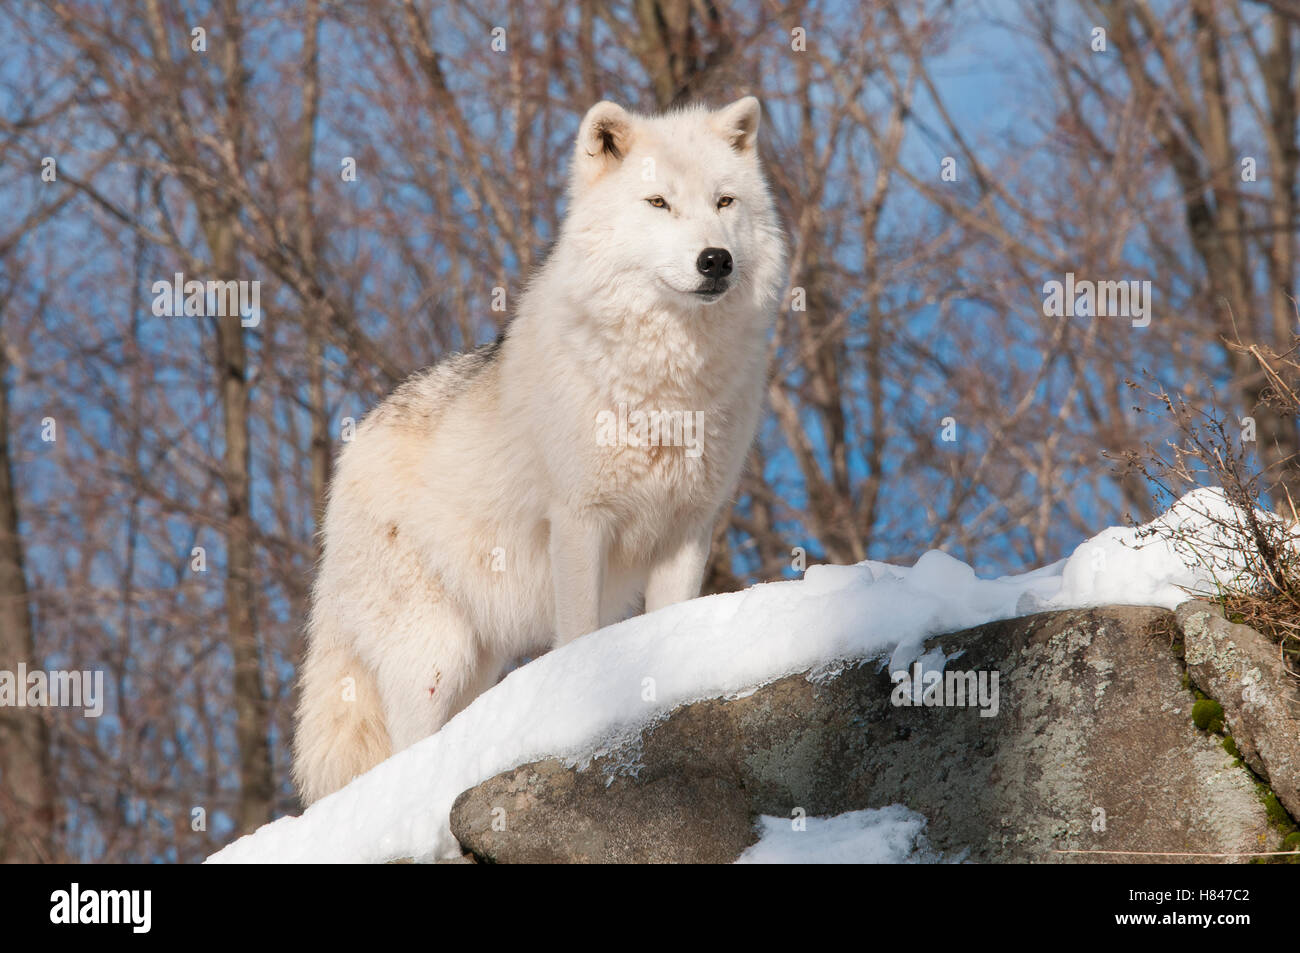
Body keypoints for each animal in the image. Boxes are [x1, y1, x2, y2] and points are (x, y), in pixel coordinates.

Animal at [292, 97, 787, 805]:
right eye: (658, 202)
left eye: (724, 201)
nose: (715, 259)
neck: (668, 383)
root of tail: (351, 452)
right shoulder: (579, 522)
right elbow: (578, 633)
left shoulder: (690, 527)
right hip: (432, 656)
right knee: (402, 753)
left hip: (475, 657)